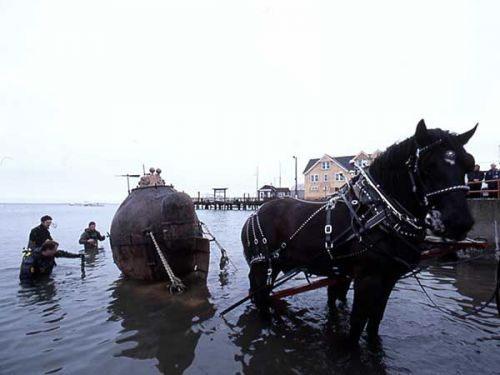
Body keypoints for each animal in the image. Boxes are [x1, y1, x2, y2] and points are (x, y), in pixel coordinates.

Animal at [241, 120, 476, 344]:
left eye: (468, 164)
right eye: (426, 167)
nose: (460, 222)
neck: (378, 213)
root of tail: (255, 212)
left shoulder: (389, 278)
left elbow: (375, 321)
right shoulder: (366, 278)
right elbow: (357, 324)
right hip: (263, 266)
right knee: (261, 296)